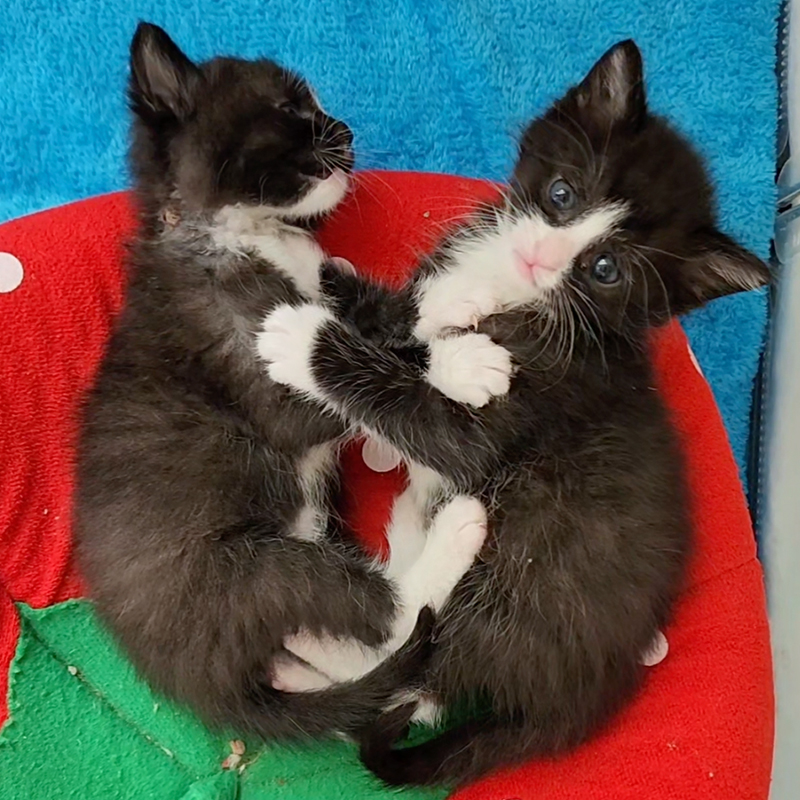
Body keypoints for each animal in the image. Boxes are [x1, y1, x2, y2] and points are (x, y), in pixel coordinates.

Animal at [76, 25, 500, 744]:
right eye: (288, 108)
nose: (347, 128)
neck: (239, 231)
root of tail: (199, 686)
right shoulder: (258, 374)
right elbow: (353, 371)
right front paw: (467, 363)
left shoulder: (321, 288)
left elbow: (368, 321)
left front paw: (456, 299)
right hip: (254, 569)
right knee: (389, 616)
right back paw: (452, 530)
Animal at [255, 40, 768, 784]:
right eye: (562, 196)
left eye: (606, 269)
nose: (537, 255)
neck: (523, 294)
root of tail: (577, 701)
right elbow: (412, 320)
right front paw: (329, 273)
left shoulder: (538, 392)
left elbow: (425, 408)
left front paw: (306, 339)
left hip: (522, 559)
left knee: (412, 655)